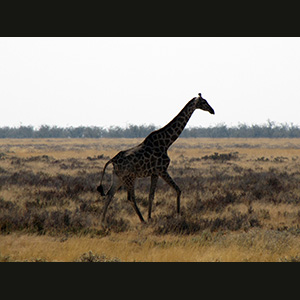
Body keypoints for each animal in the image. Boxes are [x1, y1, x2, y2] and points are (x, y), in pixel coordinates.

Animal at [96, 92, 213, 224]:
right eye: (204, 102)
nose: (212, 110)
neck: (166, 142)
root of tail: (113, 160)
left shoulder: (154, 173)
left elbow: (151, 195)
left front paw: (151, 217)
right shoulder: (161, 170)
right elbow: (177, 190)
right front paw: (177, 215)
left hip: (118, 177)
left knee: (110, 195)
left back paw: (102, 220)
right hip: (130, 177)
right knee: (130, 197)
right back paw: (142, 220)